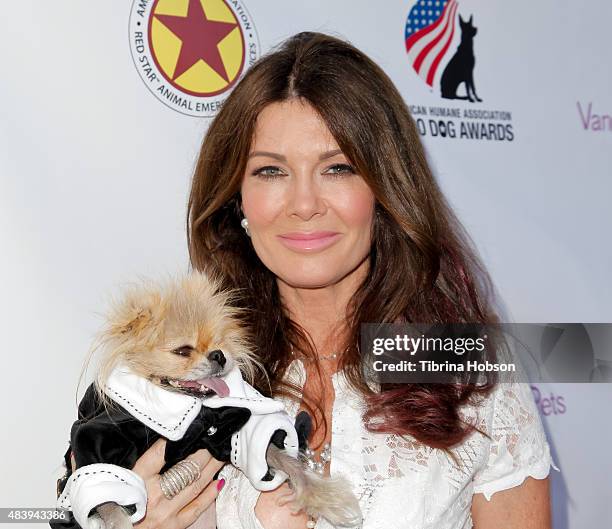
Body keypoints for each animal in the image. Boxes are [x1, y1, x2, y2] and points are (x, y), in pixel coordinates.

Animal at [53, 270, 364, 528]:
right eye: (182, 351)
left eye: (219, 343)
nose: (219, 355)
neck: (196, 413)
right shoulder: (97, 448)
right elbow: (110, 504)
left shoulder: (226, 437)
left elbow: (283, 460)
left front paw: (323, 497)